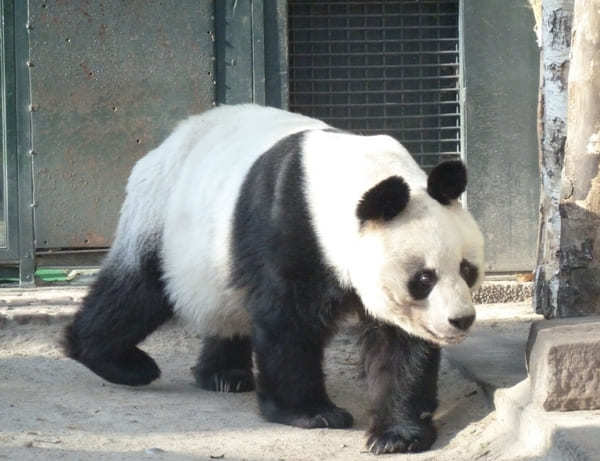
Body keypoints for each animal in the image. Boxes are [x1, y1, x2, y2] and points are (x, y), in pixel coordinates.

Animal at [63, 104, 486, 452]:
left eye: (467, 269)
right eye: (423, 279)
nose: (461, 320)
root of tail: (164, 145)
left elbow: (399, 343)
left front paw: (397, 435)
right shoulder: (290, 223)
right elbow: (288, 318)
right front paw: (311, 413)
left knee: (223, 308)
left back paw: (223, 374)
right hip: (162, 218)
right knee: (136, 291)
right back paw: (117, 360)